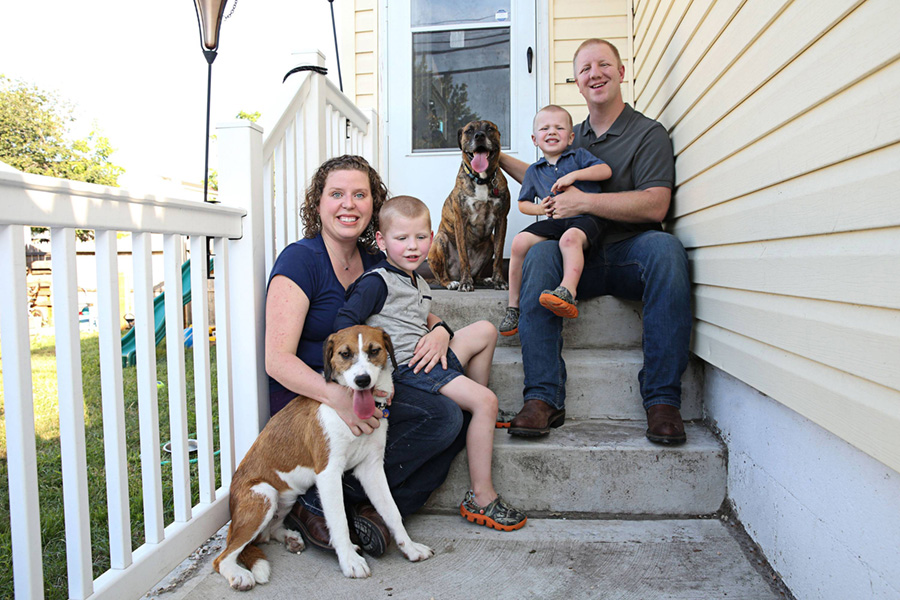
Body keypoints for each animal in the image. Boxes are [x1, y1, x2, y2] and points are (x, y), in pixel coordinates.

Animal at [213, 326, 434, 588]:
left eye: (374, 350)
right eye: (345, 354)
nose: (362, 381)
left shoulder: (371, 469)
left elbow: (392, 511)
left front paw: (409, 547)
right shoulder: (328, 474)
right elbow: (339, 521)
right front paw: (349, 561)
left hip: (286, 498)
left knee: (267, 534)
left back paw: (289, 537)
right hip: (263, 495)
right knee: (224, 556)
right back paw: (238, 573)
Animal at [430, 118, 512, 292]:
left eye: (489, 128)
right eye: (469, 131)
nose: (479, 135)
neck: (482, 179)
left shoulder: (502, 220)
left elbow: (499, 256)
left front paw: (499, 281)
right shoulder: (460, 220)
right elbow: (464, 257)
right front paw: (465, 282)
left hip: (490, 241)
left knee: (478, 274)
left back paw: (485, 280)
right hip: (440, 240)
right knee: (442, 277)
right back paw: (452, 282)